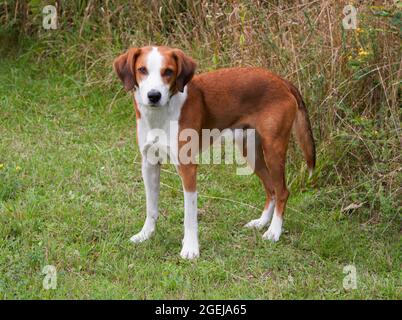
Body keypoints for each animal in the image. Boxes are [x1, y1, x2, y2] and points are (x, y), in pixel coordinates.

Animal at [112, 45, 314, 260]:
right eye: (142, 70)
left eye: (168, 71)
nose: (153, 95)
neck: (159, 117)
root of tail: (282, 81)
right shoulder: (149, 164)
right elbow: (151, 207)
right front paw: (146, 234)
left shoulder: (188, 168)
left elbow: (189, 215)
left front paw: (190, 248)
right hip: (250, 150)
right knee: (271, 189)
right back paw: (261, 223)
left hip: (273, 150)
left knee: (282, 191)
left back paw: (274, 231)